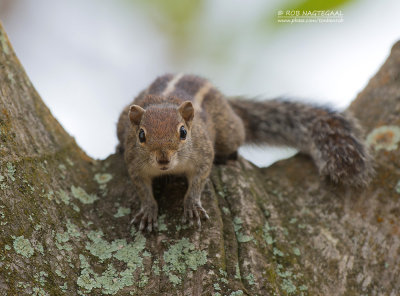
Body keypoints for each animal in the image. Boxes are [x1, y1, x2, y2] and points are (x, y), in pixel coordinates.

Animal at [117, 73, 374, 230]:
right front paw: (148, 211)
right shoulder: (134, 164)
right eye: (141, 135)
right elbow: (142, 189)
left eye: (183, 132)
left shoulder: (203, 154)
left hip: (230, 131)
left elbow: (199, 181)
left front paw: (192, 205)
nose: (163, 158)